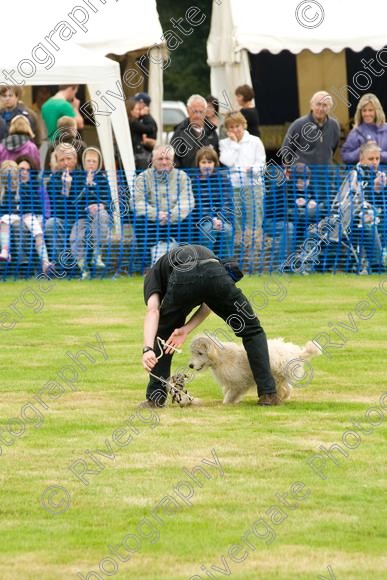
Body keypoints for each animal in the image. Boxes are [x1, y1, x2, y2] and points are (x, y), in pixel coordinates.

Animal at [189, 336, 322, 404]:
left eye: (200, 353)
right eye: (193, 352)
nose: (190, 365)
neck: (221, 357)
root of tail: (296, 353)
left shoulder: (239, 382)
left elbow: (231, 393)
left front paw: (227, 402)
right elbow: (228, 390)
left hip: (276, 374)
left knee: (282, 388)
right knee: (287, 388)